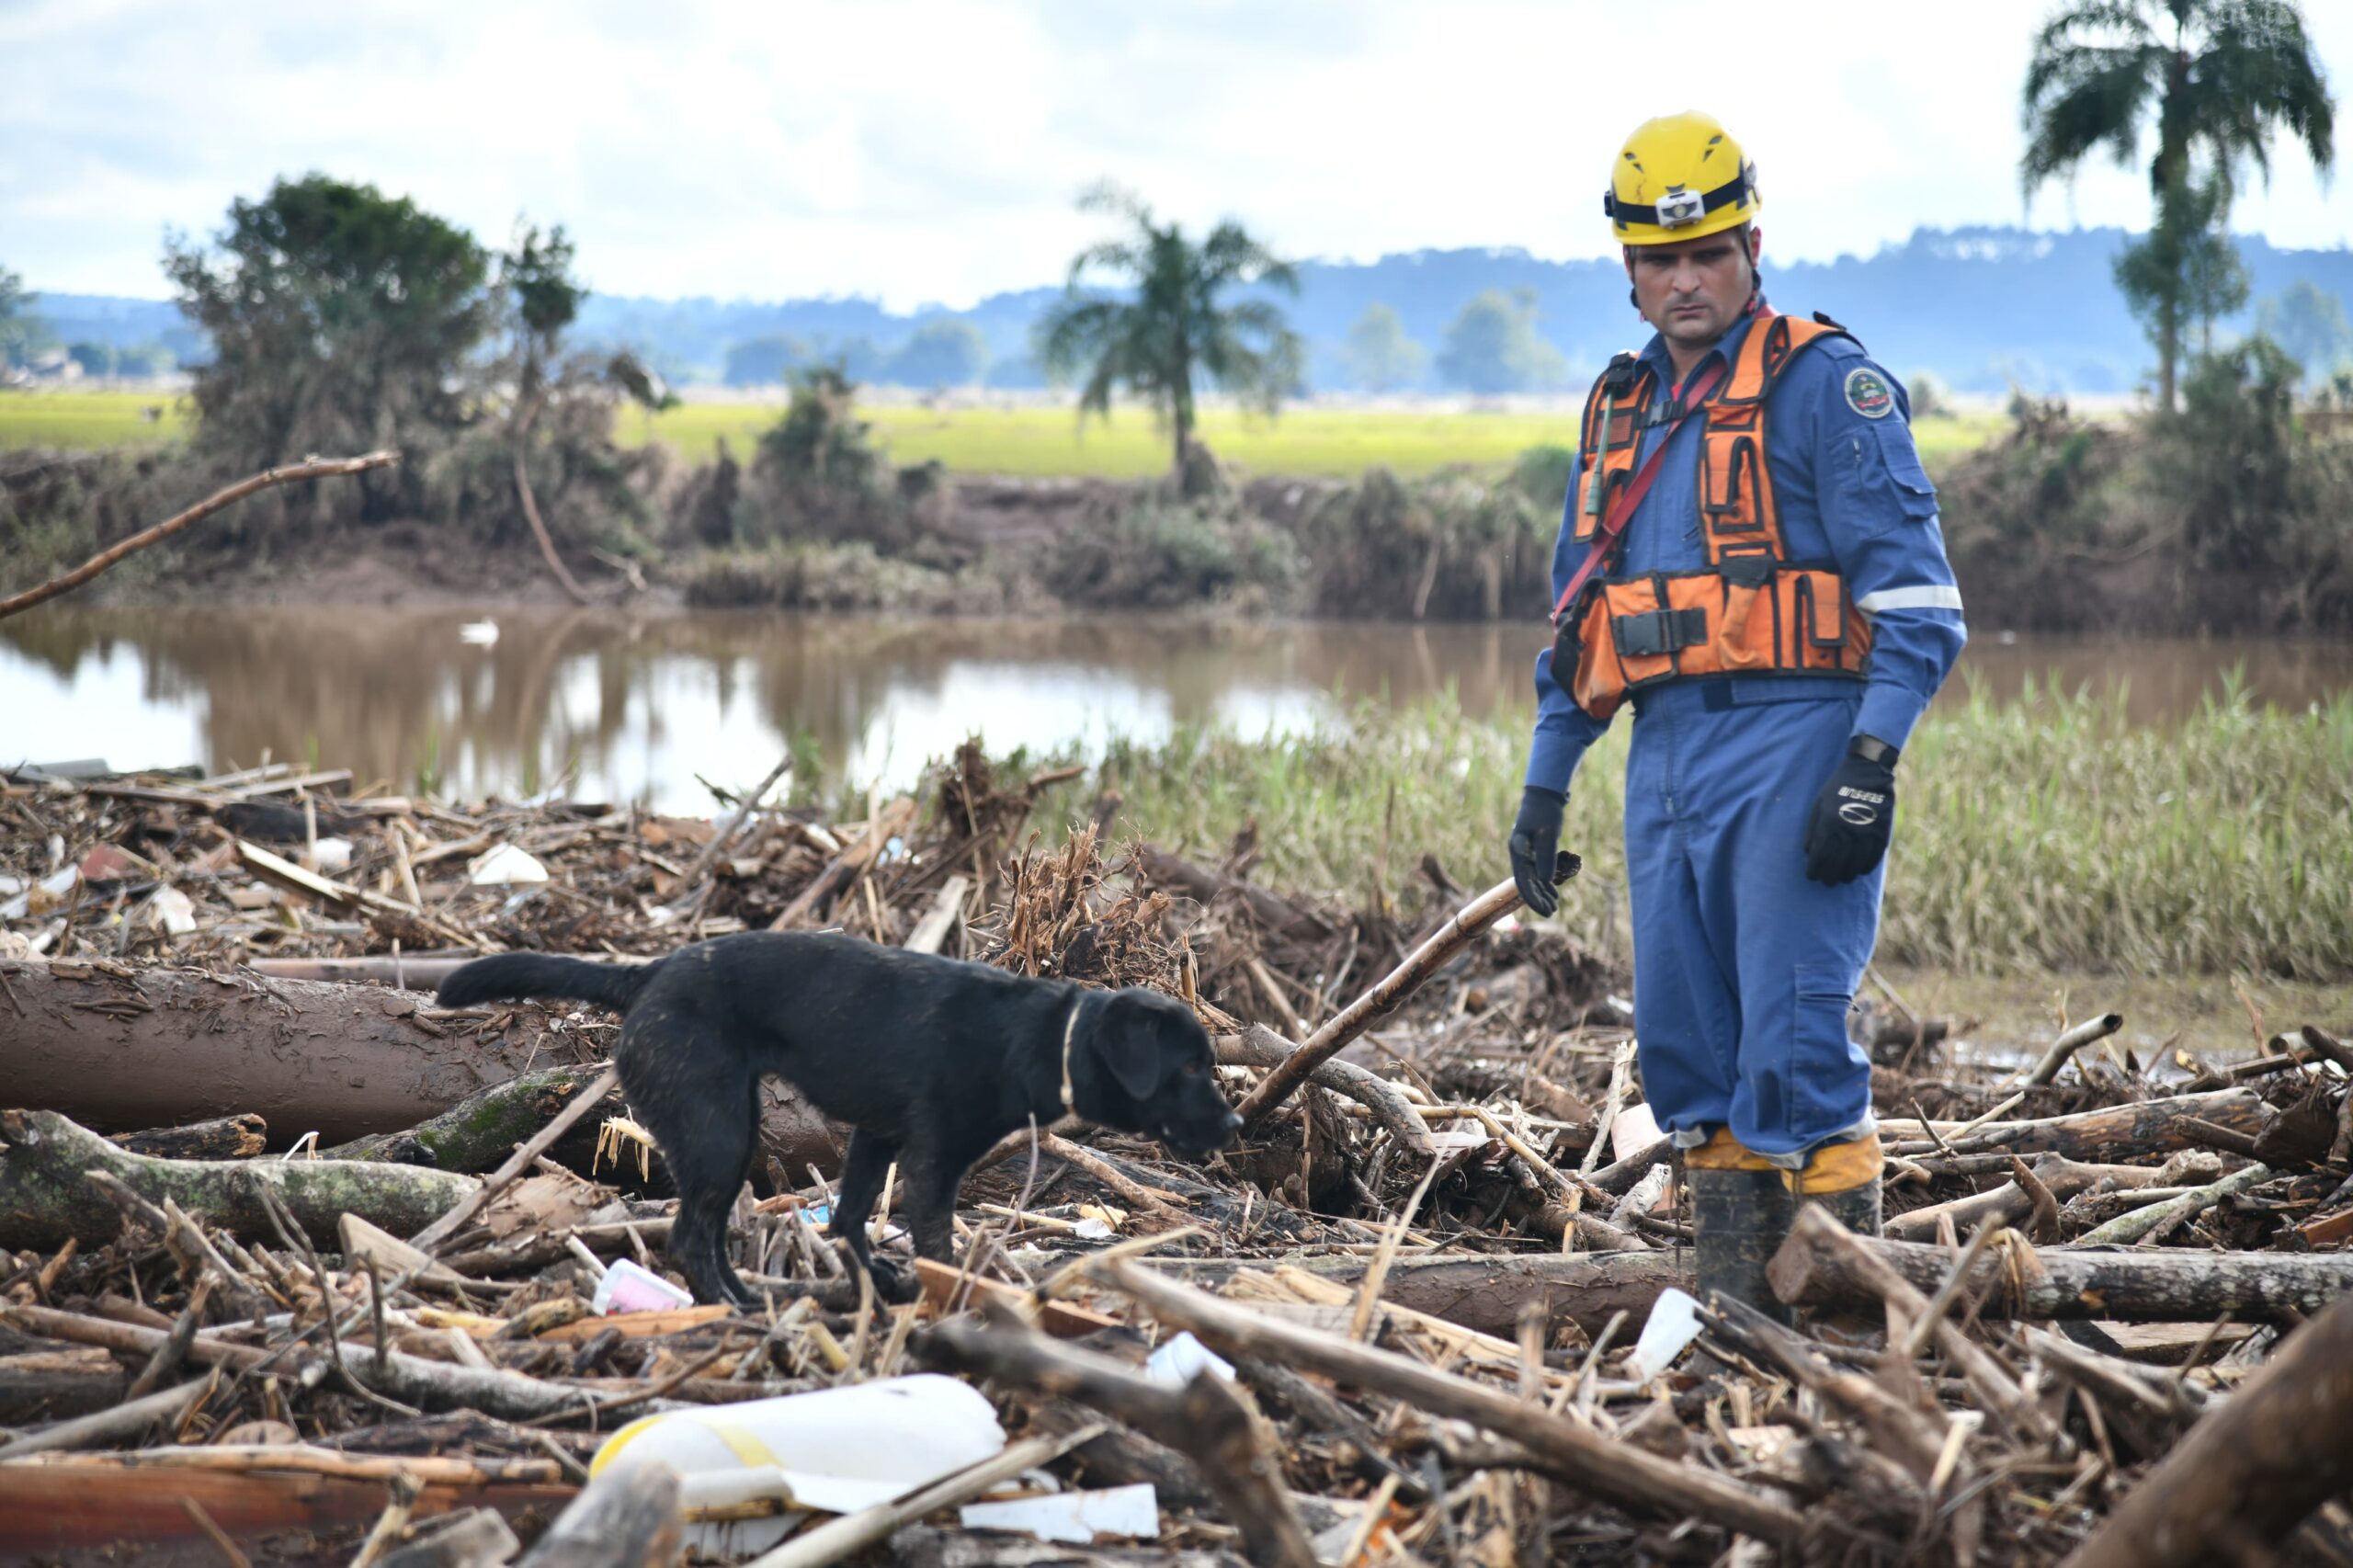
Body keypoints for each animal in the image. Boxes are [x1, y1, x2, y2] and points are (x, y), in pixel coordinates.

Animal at [435, 927, 1242, 1309]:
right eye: (1189, 1068)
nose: (1235, 1127)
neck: (1043, 1038)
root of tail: (649, 973)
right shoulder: (932, 1161)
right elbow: (935, 1241)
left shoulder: (877, 1137)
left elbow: (852, 1217)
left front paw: (873, 1281)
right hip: (719, 1130)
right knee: (690, 1237)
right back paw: (731, 1308)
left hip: (728, 1131)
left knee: (707, 1233)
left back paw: (745, 1297)